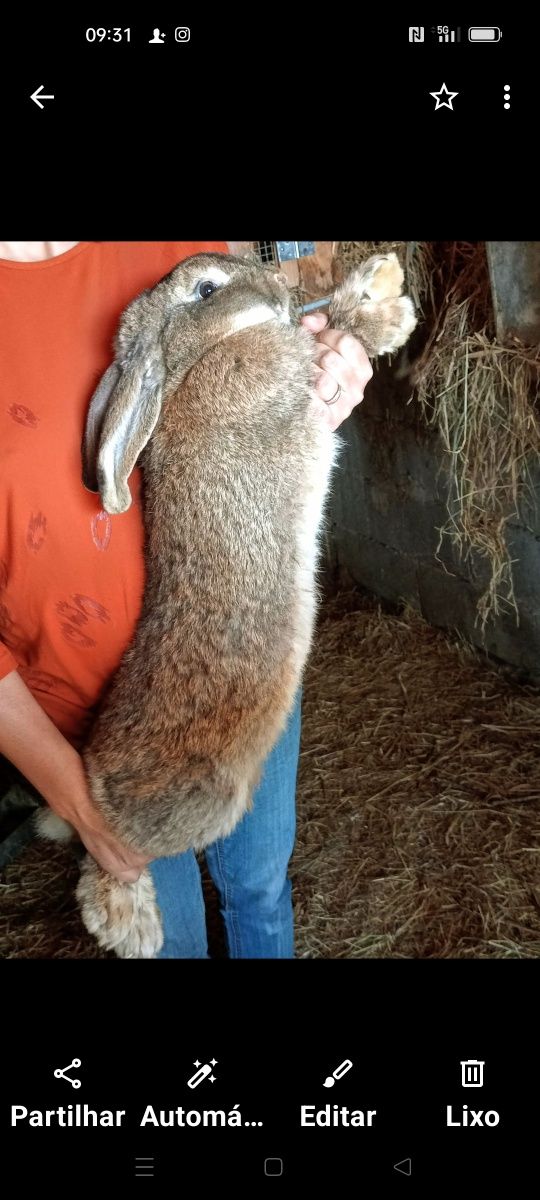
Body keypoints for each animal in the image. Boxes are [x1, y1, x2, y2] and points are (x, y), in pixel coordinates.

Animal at [37, 250, 417, 955]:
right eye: (207, 290)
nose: (276, 287)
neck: (198, 356)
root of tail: (94, 776)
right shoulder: (284, 374)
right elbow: (324, 331)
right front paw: (381, 296)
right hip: (190, 805)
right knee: (111, 859)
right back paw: (128, 925)